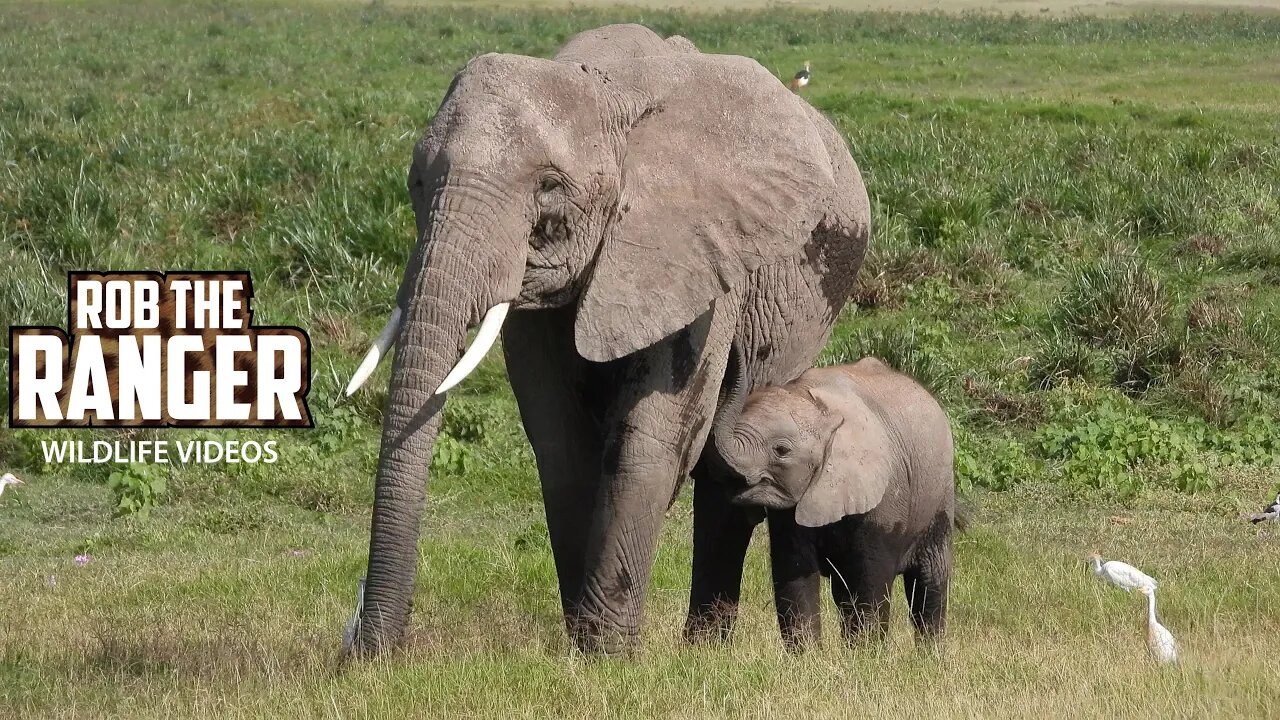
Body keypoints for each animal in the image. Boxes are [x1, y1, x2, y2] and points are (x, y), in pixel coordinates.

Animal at [340, 23, 870, 655]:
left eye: (549, 188)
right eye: (417, 181)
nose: (366, 651)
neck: (601, 89)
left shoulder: (695, 255)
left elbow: (651, 433)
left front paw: (605, 653)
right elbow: (560, 442)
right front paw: (580, 646)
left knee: (728, 463)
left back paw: (702, 650)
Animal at [716, 356, 957, 648]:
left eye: (781, 450)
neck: (820, 409)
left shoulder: (883, 496)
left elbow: (869, 579)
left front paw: (866, 653)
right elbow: (794, 571)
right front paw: (808, 654)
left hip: (940, 495)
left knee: (930, 584)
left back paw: (930, 653)